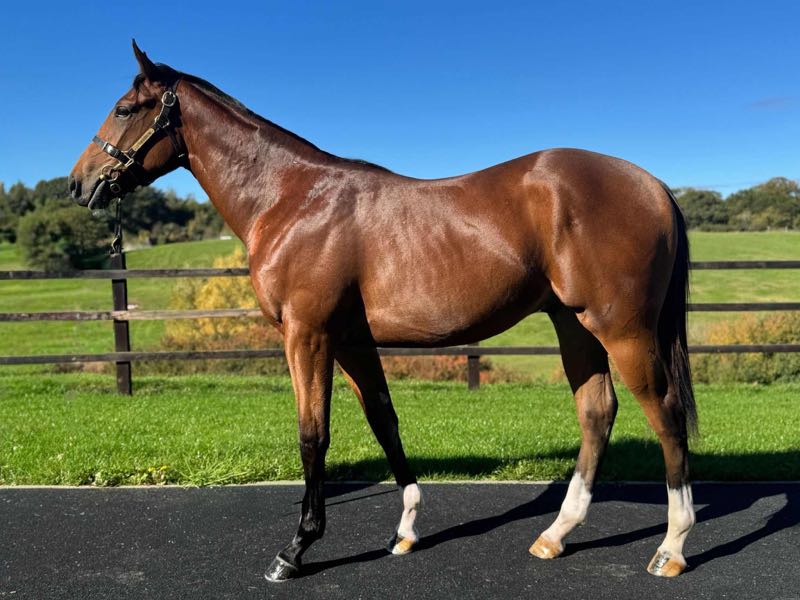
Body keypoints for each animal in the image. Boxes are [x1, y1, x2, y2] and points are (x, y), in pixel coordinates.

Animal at [69, 41, 697, 582]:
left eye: (124, 108)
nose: (79, 183)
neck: (292, 197)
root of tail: (653, 185)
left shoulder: (308, 335)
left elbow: (313, 434)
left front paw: (296, 548)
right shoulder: (351, 340)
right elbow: (384, 422)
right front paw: (407, 530)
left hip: (621, 328)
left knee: (664, 413)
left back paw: (671, 547)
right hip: (575, 324)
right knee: (597, 411)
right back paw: (556, 535)